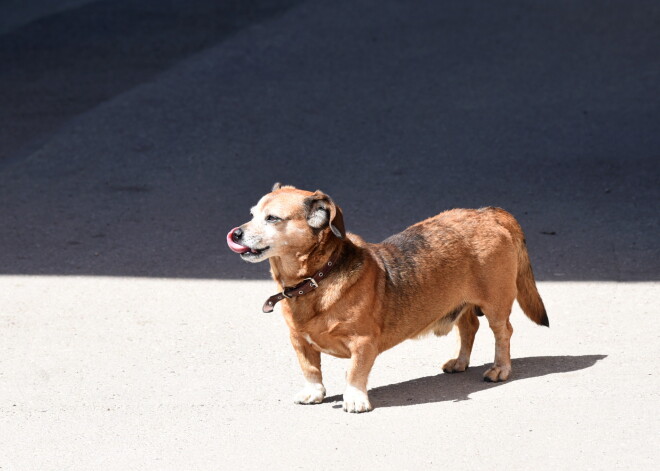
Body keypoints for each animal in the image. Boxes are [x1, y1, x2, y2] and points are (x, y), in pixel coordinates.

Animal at [227, 184, 548, 412]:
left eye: (272, 218)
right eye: (253, 214)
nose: (236, 233)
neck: (315, 280)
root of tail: (489, 213)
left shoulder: (363, 343)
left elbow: (355, 372)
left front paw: (355, 399)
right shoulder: (299, 341)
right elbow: (310, 369)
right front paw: (314, 392)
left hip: (495, 304)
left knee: (502, 333)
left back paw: (500, 369)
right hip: (461, 302)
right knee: (469, 327)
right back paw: (460, 362)